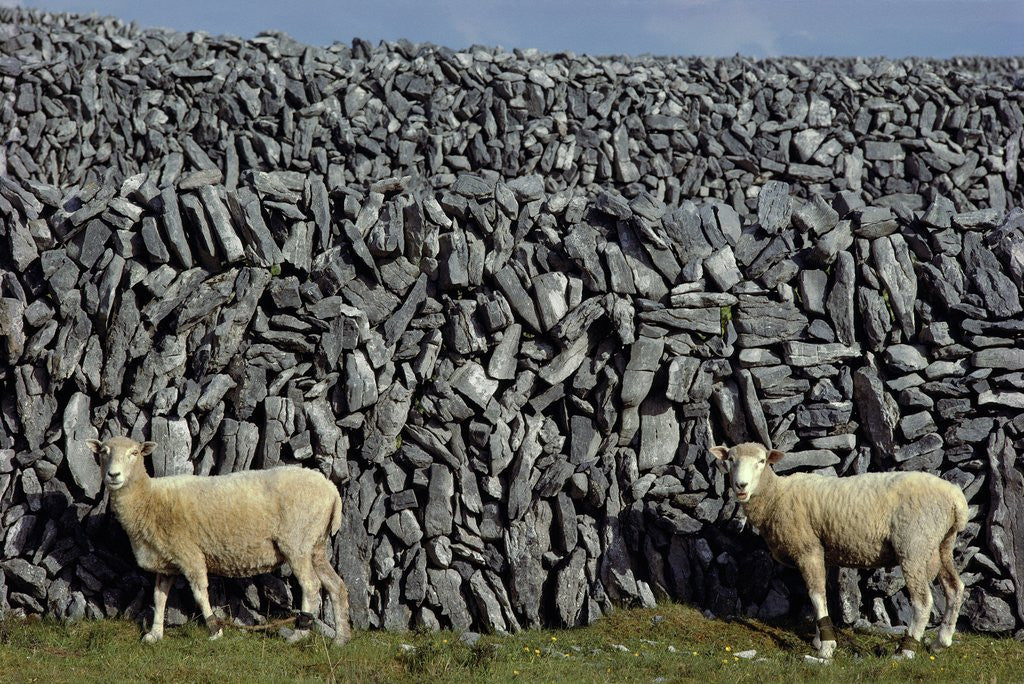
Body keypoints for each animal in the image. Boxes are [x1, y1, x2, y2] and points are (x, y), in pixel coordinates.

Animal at [86, 435, 350, 646]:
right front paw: (154, 634)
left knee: (311, 585)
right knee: (336, 585)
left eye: (134, 453)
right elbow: (159, 598)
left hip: (296, 542)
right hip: (315, 544)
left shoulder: (189, 553)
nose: (113, 475)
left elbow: (200, 593)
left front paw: (214, 629)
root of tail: (331, 490)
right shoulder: (165, 562)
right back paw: (341, 638)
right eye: (103, 452)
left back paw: (300, 633)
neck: (147, 500)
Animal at [711, 442, 967, 660]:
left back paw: (906, 650)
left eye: (762, 461)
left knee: (923, 602)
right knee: (955, 588)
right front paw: (819, 638)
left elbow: (816, 595)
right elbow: (817, 594)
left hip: (914, 545)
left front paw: (826, 646)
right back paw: (941, 642)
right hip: (942, 544)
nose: (741, 486)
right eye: (730, 459)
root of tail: (957, 499)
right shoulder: (821, 553)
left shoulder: (808, 548)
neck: (776, 497)